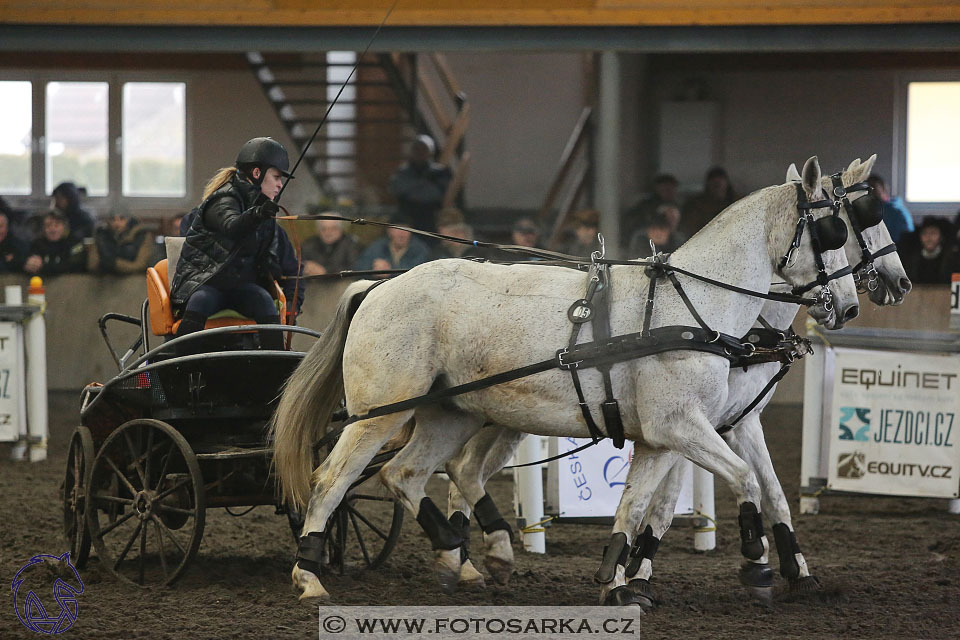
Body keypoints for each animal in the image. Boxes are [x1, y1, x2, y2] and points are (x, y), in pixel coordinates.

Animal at [272, 156, 864, 604]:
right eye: (833, 229)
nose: (849, 304)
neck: (694, 307)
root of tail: (376, 286)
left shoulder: (665, 435)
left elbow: (637, 507)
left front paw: (616, 582)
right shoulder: (684, 426)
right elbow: (745, 480)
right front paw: (756, 567)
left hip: (451, 414)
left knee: (408, 474)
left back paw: (461, 559)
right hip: (380, 412)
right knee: (333, 480)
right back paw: (310, 575)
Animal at [440, 152, 908, 604]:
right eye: (857, 221)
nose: (898, 284)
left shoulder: (740, 422)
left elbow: (771, 493)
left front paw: (798, 573)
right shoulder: (687, 423)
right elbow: (666, 504)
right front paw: (640, 574)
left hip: (500, 418)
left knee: (461, 469)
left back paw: (465, 559)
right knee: (457, 470)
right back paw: (463, 560)